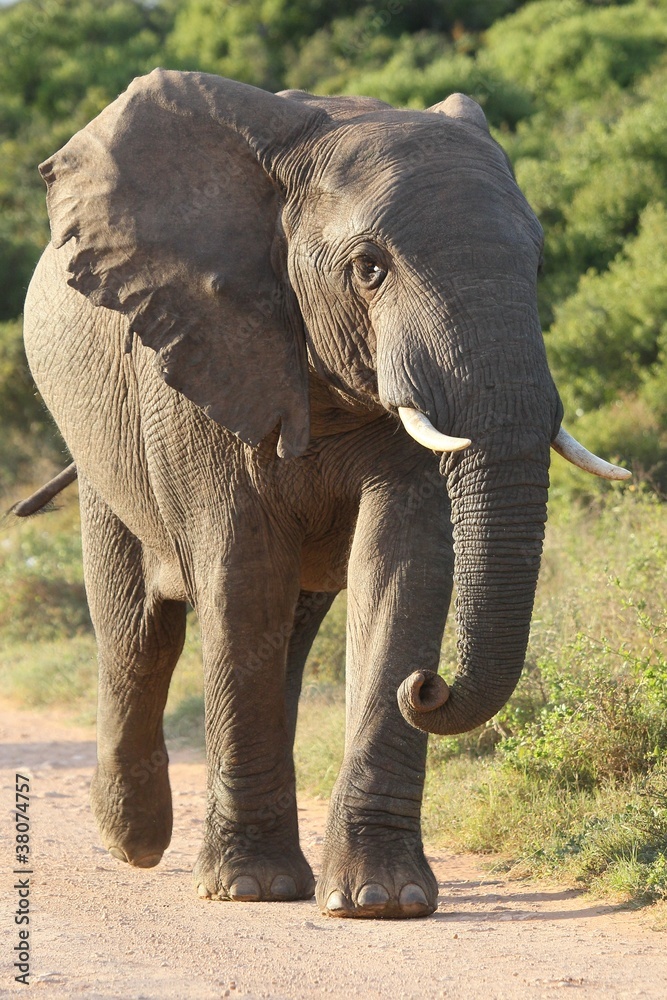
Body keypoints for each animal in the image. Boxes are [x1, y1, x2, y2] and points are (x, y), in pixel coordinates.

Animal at [21, 69, 630, 920]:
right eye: (369, 268)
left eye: (537, 264)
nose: (429, 686)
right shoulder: (195, 354)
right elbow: (240, 576)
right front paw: (250, 889)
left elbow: (402, 570)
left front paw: (380, 900)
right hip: (98, 437)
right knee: (140, 630)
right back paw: (136, 843)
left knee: (286, 633)